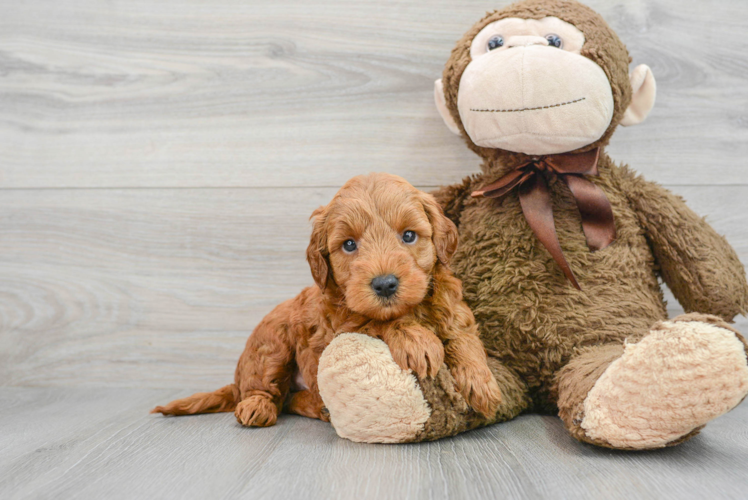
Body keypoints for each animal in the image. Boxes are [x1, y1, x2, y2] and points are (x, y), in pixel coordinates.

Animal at [152, 174, 502, 428]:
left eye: (409, 236)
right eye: (348, 245)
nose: (385, 284)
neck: (412, 308)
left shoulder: (454, 311)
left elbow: (463, 339)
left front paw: (483, 385)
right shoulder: (340, 327)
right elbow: (376, 321)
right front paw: (417, 339)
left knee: (289, 399)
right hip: (270, 347)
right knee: (267, 391)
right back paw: (258, 406)